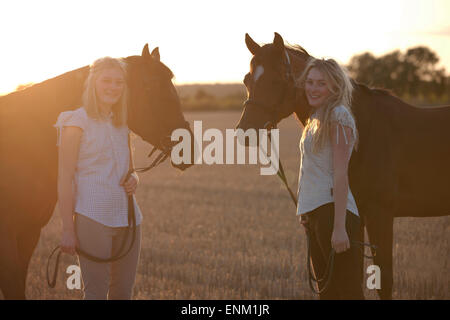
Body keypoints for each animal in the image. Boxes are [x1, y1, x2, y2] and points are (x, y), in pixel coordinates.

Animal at [236, 31, 450, 298]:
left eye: (275, 80)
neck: (365, 131)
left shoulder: (380, 213)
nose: (245, 132)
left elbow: (384, 281)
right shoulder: (356, 219)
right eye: (247, 80)